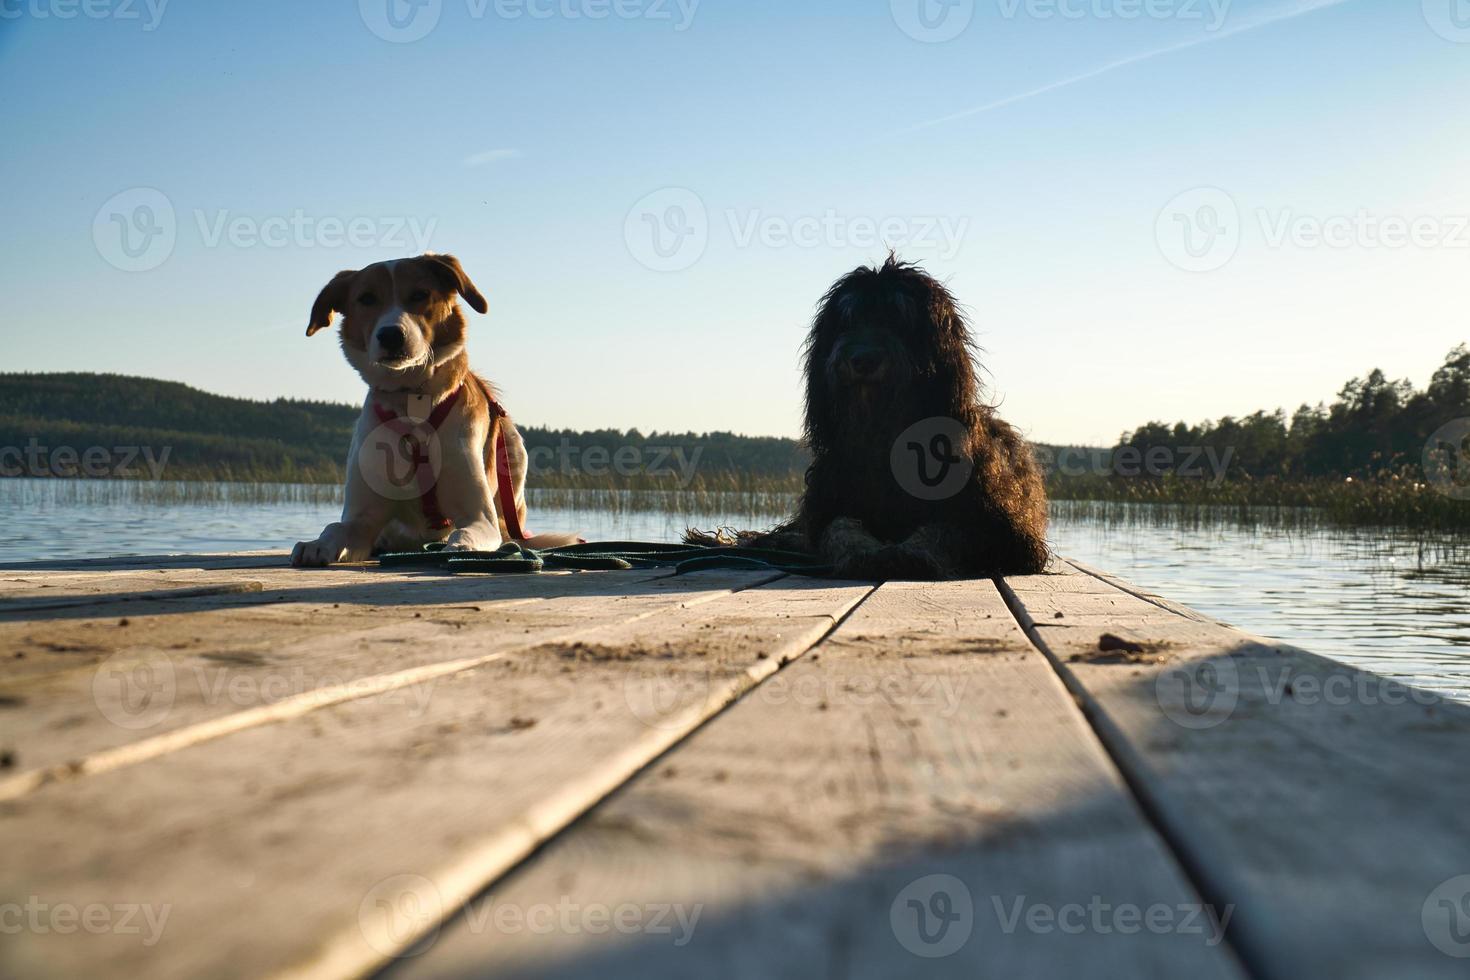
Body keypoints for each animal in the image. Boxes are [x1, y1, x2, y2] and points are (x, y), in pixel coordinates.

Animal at [289, 255, 570, 567]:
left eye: (420, 294)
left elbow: (464, 533)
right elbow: (336, 528)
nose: (391, 335)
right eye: (366, 298)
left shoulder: (479, 518)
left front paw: (460, 548)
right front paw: (317, 544)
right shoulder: (362, 519)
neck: (411, 400)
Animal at [711, 257, 1046, 581]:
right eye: (848, 319)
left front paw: (912, 552)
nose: (862, 359)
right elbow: (838, 527)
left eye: (899, 317)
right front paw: (862, 552)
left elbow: (947, 529)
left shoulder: (1003, 531)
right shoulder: (828, 503)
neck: (884, 436)